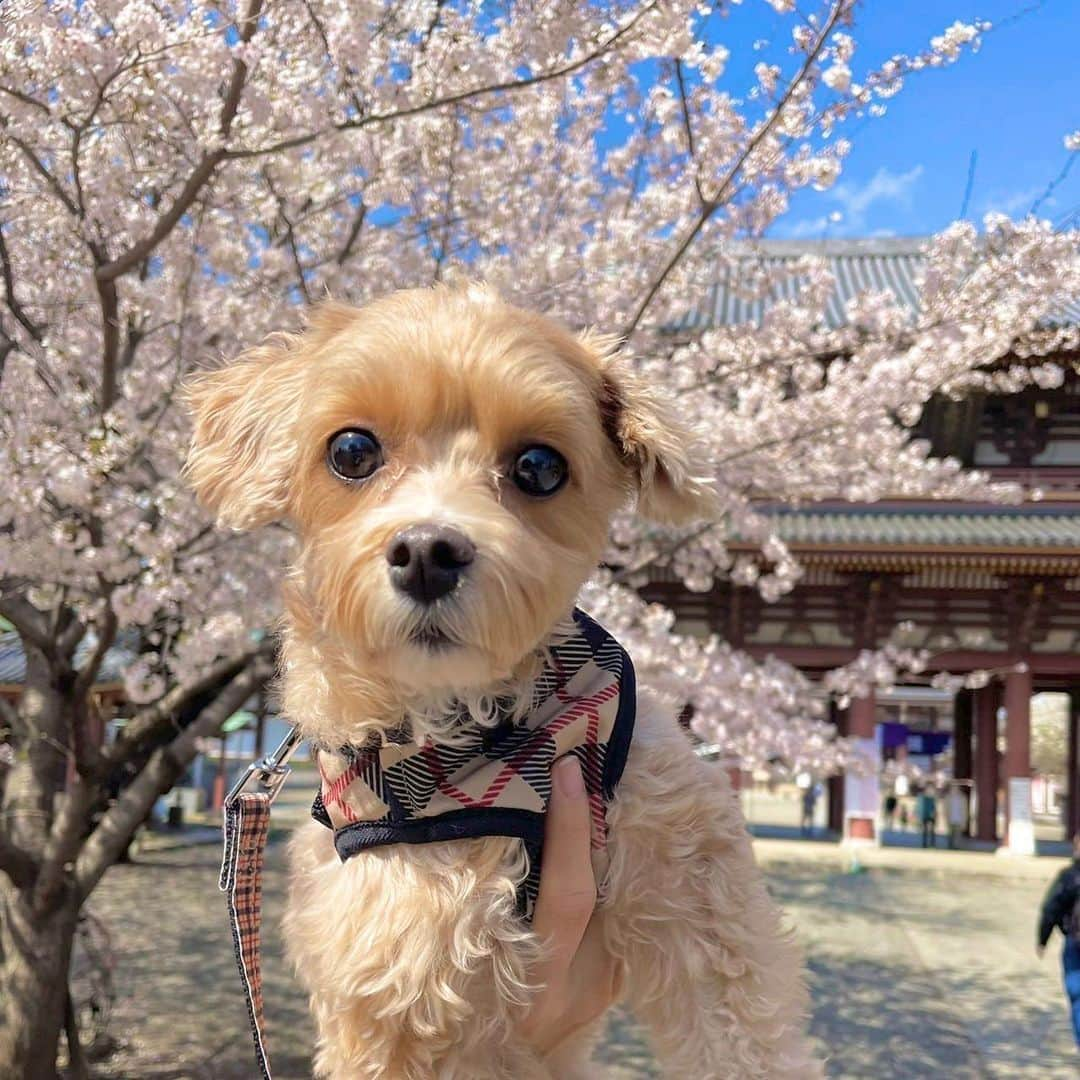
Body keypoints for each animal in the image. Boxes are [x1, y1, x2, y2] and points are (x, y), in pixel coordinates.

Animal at [190, 287, 820, 1080]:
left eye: (539, 467)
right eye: (351, 451)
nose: (428, 550)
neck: (471, 745)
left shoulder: (694, 879)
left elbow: (739, 1029)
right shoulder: (382, 960)